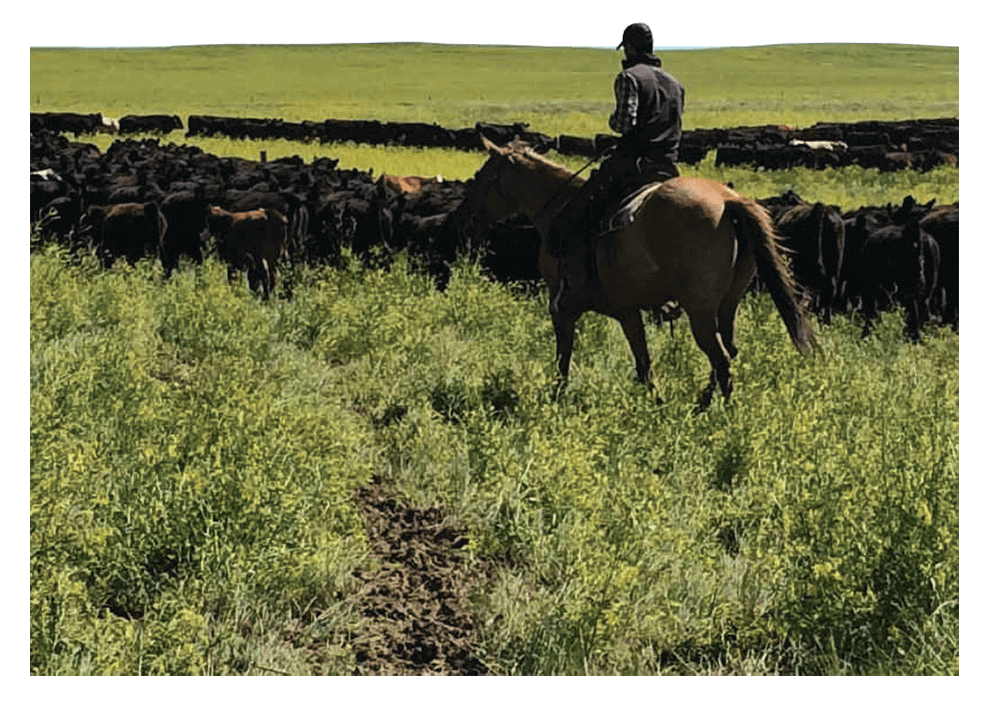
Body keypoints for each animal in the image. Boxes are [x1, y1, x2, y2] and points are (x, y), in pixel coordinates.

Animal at [458, 139, 816, 408]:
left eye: (480, 176)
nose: (464, 217)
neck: (556, 209)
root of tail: (728, 201)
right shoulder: (627, 311)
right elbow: (643, 362)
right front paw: (656, 404)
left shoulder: (561, 308)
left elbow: (564, 356)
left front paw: (555, 397)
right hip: (727, 305)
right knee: (728, 351)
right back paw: (700, 405)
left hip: (699, 312)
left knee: (721, 357)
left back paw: (722, 415)